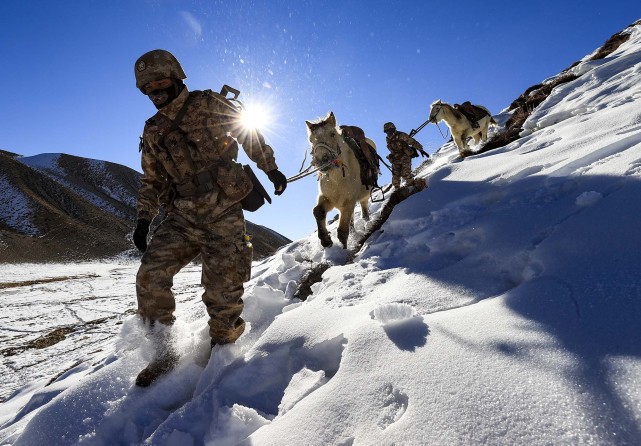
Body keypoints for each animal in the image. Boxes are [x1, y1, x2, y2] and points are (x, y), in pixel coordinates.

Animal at [306, 111, 376, 249]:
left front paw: (344, 249)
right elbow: (318, 211)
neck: (337, 180)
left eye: (332, 134)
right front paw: (326, 240)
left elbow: (342, 232)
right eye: (311, 140)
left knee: (364, 211)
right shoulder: (327, 198)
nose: (322, 161)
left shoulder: (349, 201)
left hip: (363, 196)